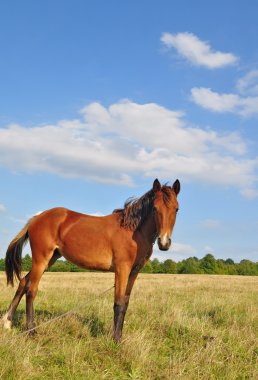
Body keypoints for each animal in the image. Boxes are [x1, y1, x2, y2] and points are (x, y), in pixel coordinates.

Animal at [2, 178, 180, 342]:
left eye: (176, 209)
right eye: (155, 208)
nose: (164, 243)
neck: (133, 231)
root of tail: (36, 218)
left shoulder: (134, 272)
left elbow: (126, 303)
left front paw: (120, 336)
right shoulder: (122, 269)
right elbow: (118, 303)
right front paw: (116, 340)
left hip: (51, 259)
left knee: (24, 282)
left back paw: (7, 322)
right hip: (41, 259)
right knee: (31, 291)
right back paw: (31, 331)